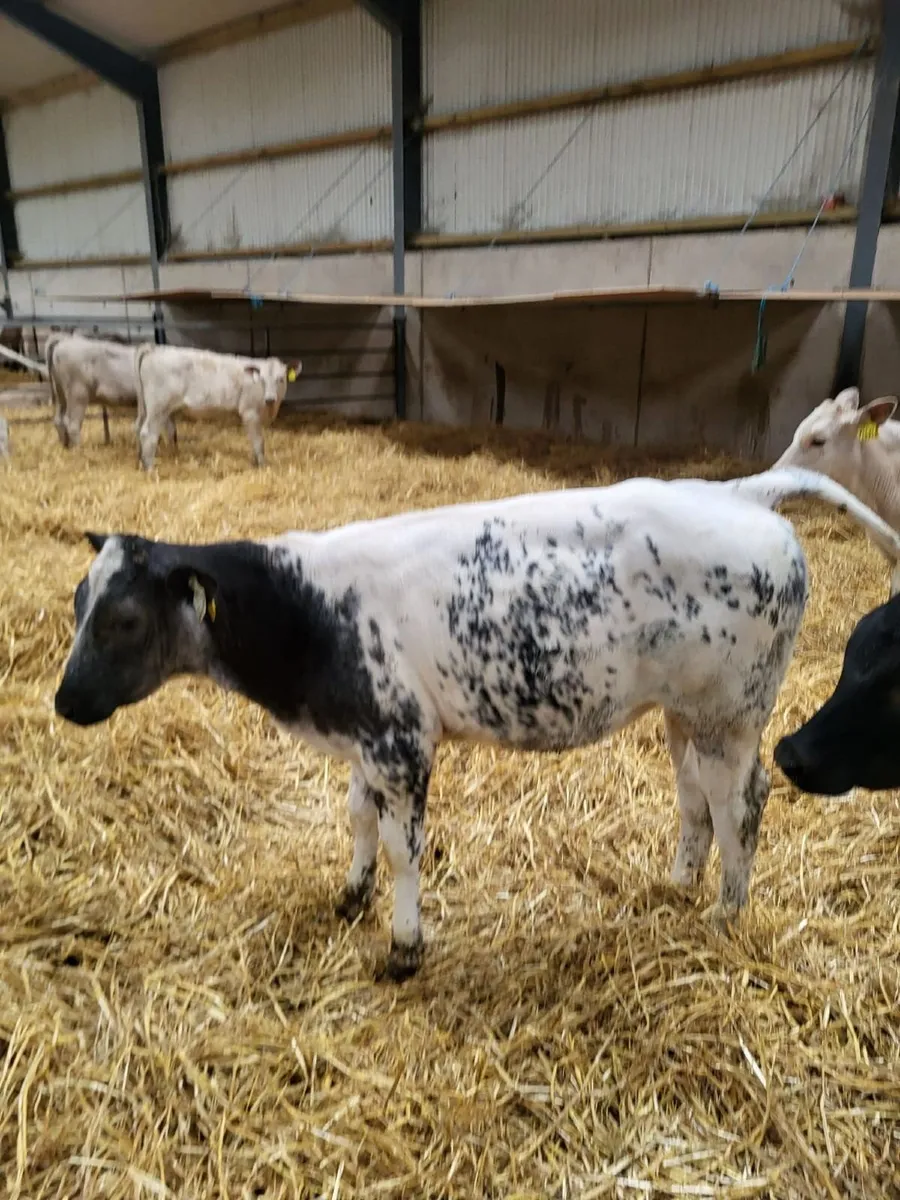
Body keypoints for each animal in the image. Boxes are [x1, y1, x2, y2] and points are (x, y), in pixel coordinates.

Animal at [46, 332, 176, 450]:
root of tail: (64, 340)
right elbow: (168, 428)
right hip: (77, 394)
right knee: (72, 424)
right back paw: (79, 450)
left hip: (60, 392)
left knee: (58, 420)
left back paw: (65, 446)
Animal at [52, 466, 900, 981]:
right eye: (77, 602)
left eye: (124, 619)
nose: (64, 701)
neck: (310, 609)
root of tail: (741, 491)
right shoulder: (365, 735)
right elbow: (356, 817)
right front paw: (350, 895)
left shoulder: (401, 742)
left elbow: (404, 847)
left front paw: (403, 946)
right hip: (684, 713)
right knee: (695, 799)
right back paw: (678, 885)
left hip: (734, 710)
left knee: (741, 803)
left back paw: (726, 913)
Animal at [134, 344, 300, 470]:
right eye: (262, 380)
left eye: (280, 379)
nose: (270, 399)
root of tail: (154, 349)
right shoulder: (249, 413)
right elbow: (258, 441)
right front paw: (262, 466)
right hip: (158, 407)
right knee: (148, 433)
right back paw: (150, 468)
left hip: (155, 408)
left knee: (149, 429)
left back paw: (145, 460)